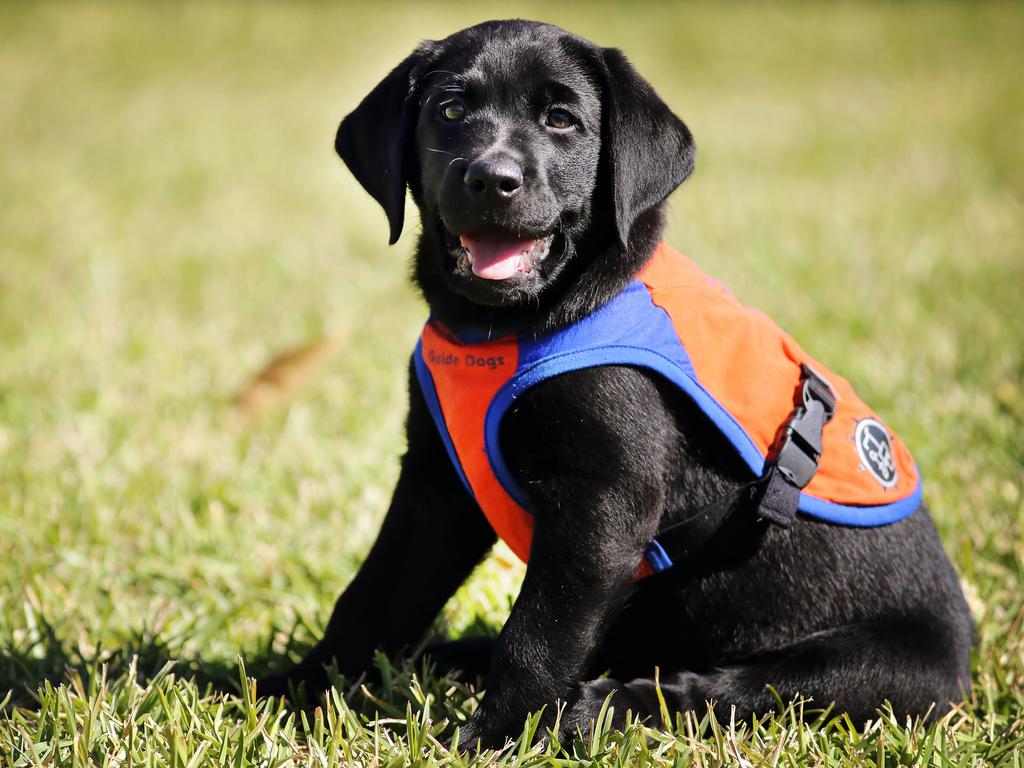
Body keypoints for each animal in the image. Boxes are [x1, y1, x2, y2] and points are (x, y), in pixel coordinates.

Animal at [258, 19, 974, 753]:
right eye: (450, 110)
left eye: (561, 120)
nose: (491, 179)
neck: (505, 329)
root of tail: (963, 654)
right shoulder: (435, 488)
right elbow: (375, 596)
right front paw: (294, 690)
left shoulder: (604, 504)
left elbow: (537, 637)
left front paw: (498, 737)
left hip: (858, 672)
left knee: (722, 690)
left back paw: (592, 708)